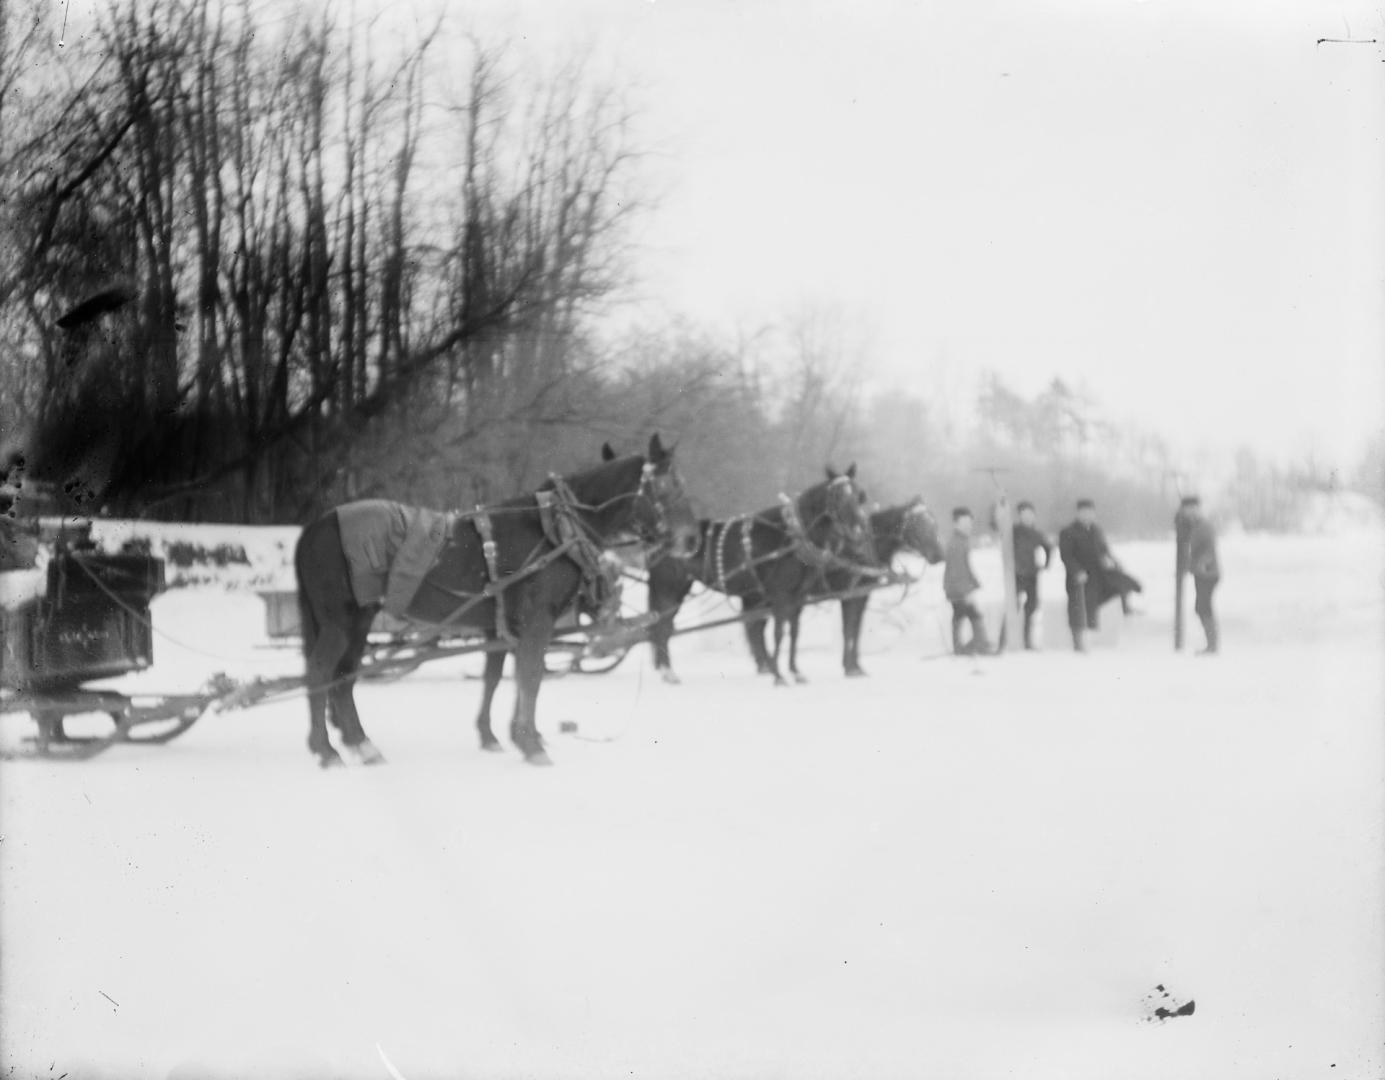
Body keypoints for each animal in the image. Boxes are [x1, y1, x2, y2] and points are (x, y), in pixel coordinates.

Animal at [296, 432, 698, 769]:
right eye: (669, 487)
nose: (691, 540)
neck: (557, 528)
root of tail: (315, 526)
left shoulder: (503, 625)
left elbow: (499, 677)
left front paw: (500, 735)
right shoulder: (539, 619)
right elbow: (531, 675)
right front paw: (530, 744)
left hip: (359, 619)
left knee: (344, 677)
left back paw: (359, 743)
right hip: (339, 621)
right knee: (320, 672)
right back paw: (327, 750)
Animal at [645, 462, 869, 684]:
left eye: (859, 495)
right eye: (837, 496)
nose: (858, 533)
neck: (792, 538)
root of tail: (661, 535)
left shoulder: (798, 596)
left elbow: (794, 632)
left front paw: (795, 671)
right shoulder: (780, 595)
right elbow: (779, 632)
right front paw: (779, 676)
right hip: (668, 589)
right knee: (663, 628)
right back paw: (668, 672)